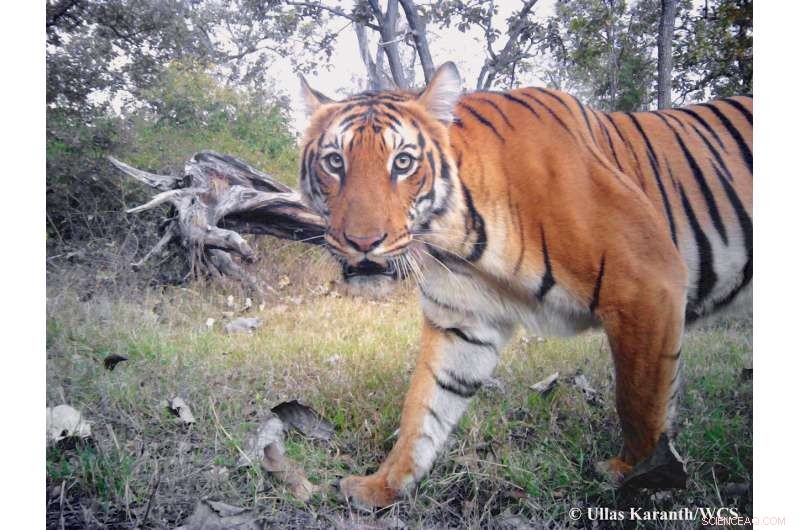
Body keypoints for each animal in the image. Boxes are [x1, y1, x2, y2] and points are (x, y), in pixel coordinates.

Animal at [297, 62, 752, 509]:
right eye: (334, 162)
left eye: (403, 162)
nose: (362, 242)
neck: (459, 242)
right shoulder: (463, 320)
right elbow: (425, 406)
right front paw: (383, 486)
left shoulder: (649, 282)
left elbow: (640, 401)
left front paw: (639, 475)